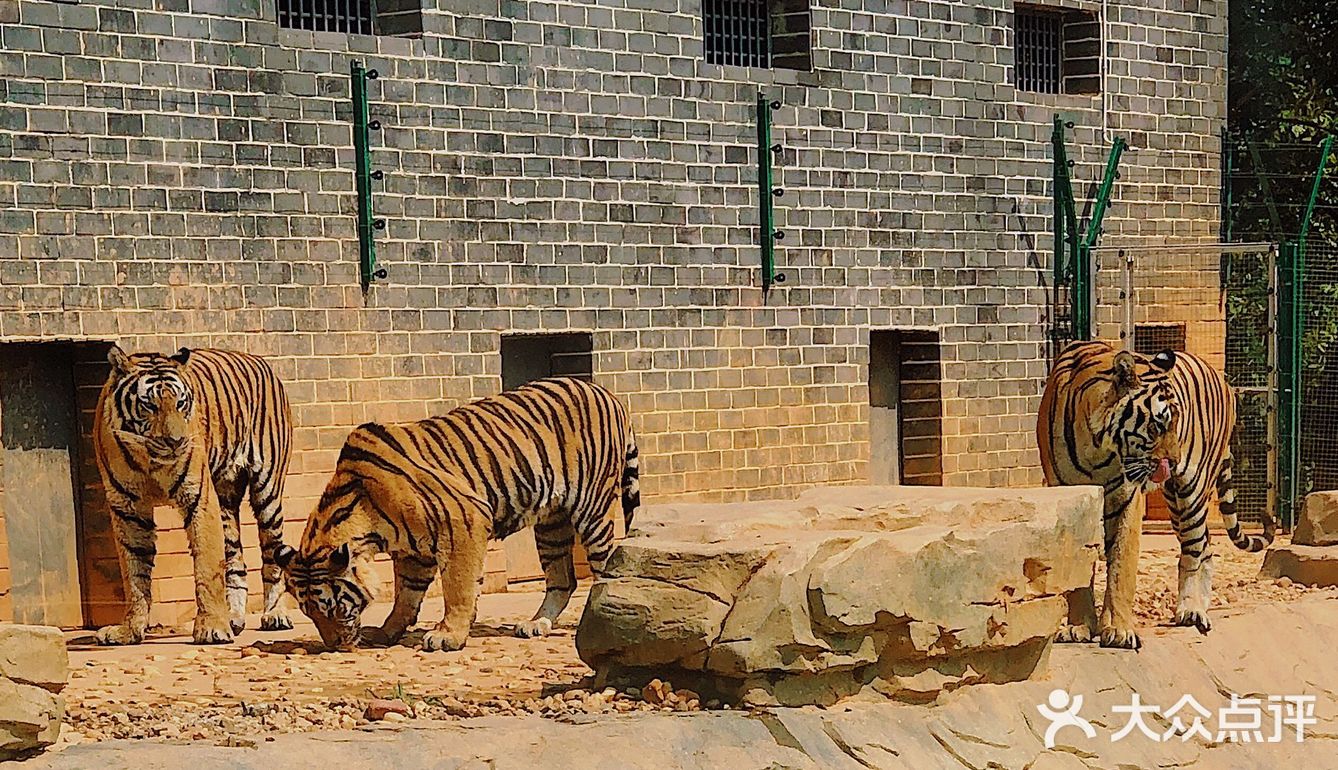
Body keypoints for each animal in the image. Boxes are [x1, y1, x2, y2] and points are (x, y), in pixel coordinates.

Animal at [92, 344, 295, 646]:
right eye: (149, 405)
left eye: (180, 403)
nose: (176, 442)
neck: (148, 459)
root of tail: (258, 360)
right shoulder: (128, 509)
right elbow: (134, 573)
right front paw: (129, 630)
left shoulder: (199, 497)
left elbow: (207, 564)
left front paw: (211, 628)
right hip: (225, 497)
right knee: (236, 559)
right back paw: (234, 617)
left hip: (267, 490)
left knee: (272, 555)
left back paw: (275, 614)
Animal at [275, 376, 641, 653]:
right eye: (308, 613)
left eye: (333, 608)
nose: (335, 646)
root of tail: (608, 393)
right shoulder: (413, 551)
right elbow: (406, 594)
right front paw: (387, 631)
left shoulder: (464, 519)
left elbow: (457, 585)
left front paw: (447, 636)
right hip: (552, 524)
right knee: (563, 579)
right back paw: (536, 624)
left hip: (593, 508)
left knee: (604, 565)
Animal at [1036, 339, 1275, 649]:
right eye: (1156, 426)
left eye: (1177, 422)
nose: (1173, 461)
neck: (1096, 446)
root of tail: (1221, 378)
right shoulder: (1071, 494)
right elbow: (1079, 566)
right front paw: (1079, 627)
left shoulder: (1127, 496)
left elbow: (1122, 565)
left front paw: (1119, 630)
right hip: (1176, 503)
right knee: (1207, 545)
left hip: (1192, 491)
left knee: (1194, 550)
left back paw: (1191, 610)